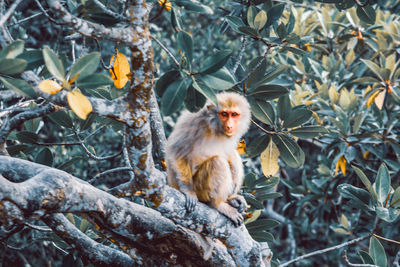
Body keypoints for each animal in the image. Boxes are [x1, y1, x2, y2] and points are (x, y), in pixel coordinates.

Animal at [166, 92, 250, 226]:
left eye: (234, 114)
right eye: (224, 114)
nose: (230, 126)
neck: (214, 127)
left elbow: (228, 152)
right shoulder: (193, 123)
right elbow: (175, 151)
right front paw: (188, 190)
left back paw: (230, 199)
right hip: (199, 188)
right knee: (217, 162)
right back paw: (218, 204)